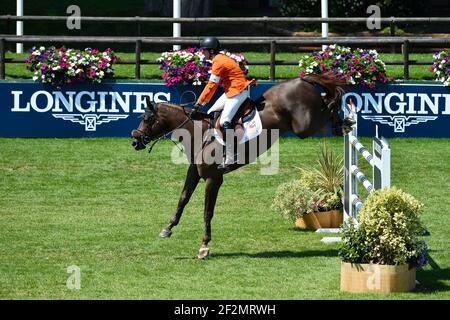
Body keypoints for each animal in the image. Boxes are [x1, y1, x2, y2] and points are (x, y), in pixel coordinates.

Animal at [132, 75, 346, 260]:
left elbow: (207, 211)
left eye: (147, 119)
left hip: (304, 127)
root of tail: (301, 79)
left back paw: (343, 121)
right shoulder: (194, 172)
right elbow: (183, 199)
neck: (199, 134)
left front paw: (204, 246)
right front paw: (167, 228)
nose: (135, 141)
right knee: (327, 99)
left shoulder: (213, 179)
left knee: (329, 104)